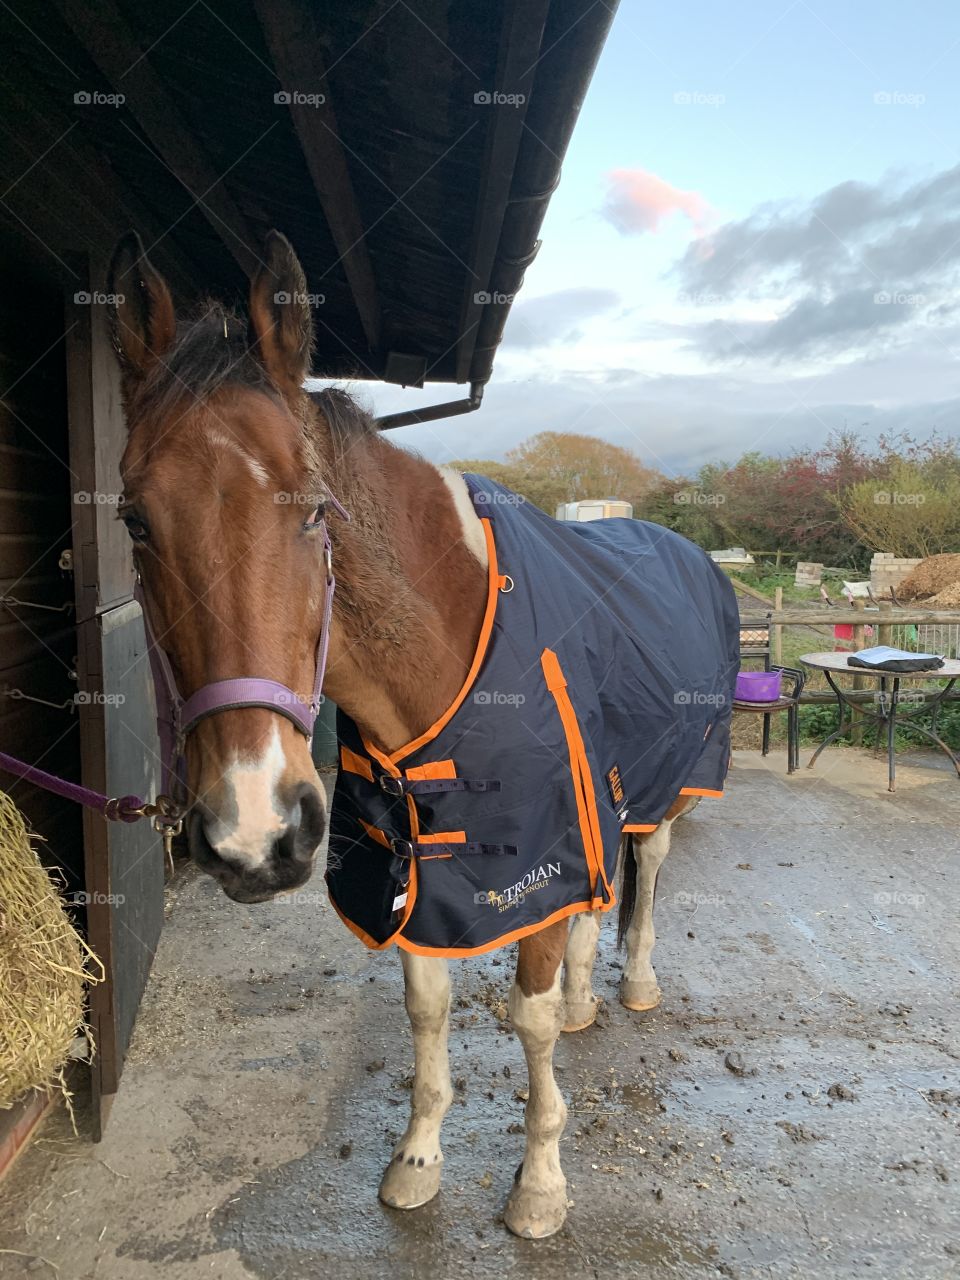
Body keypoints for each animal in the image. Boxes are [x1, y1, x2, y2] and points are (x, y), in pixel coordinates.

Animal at [108, 229, 735, 1239]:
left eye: (314, 509)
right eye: (133, 518)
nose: (254, 835)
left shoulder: (539, 854)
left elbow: (528, 1021)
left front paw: (539, 1184)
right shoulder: (412, 867)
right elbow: (428, 1004)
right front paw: (417, 1160)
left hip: (665, 790)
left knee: (645, 872)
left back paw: (633, 983)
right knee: (597, 900)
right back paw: (589, 996)